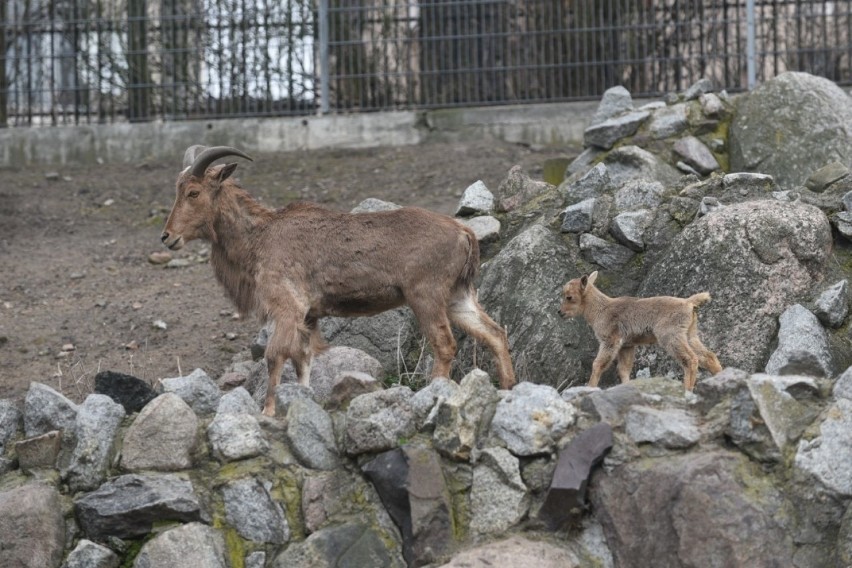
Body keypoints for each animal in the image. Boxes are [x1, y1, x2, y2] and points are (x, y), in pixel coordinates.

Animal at [163, 145, 516, 412]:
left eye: (193, 192)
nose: (167, 237)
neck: (260, 236)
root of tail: (464, 233)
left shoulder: (287, 308)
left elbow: (275, 356)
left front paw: (267, 412)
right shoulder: (309, 317)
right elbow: (303, 362)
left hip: (426, 297)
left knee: (444, 344)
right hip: (458, 296)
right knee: (495, 333)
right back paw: (509, 387)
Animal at [564, 270, 724, 390]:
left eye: (569, 297)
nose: (560, 312)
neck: (601, 309)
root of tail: (689, 303)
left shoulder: (610, 340)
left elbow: (598, 364)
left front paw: (590, 387)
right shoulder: (627, 345)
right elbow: (624, 370)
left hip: (671, 336)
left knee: (691, 359)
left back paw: (688, 389)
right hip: (690, 335)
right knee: (708, 356)